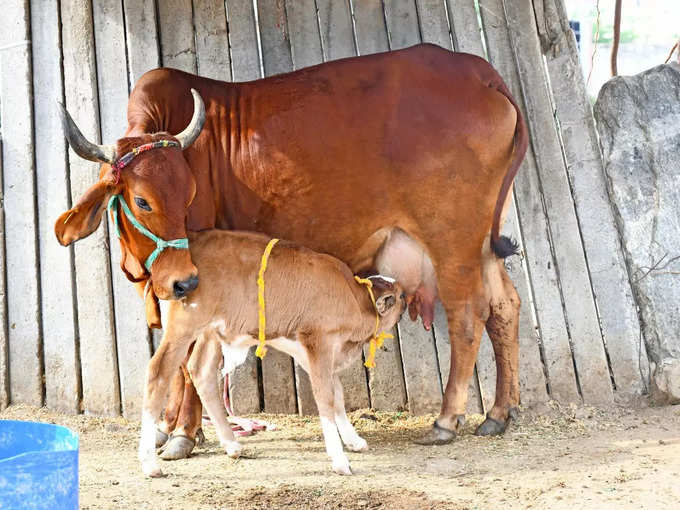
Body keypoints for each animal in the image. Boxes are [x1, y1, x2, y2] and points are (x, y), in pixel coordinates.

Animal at [55, 43, 528, 450]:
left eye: (190, 196)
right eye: (141, 200)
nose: (184, 281)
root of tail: (476, 70)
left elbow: (186, 359)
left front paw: (183, 433)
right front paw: (168, 425)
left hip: (453, 241)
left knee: (467, 316)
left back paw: (447, 419)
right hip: (483, 243)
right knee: (504, 306)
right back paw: (499, 414)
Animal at [137, 229, 404, 476]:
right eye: (401, 295)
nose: (408, 302)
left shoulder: (318, 355)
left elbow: (337, 394)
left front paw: (354, 441)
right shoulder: (319, 343)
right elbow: (326, 398)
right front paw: (340, 460)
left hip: (211, 331)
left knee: (201, 371)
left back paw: (232, 445)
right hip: (183, 327)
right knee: (158, 372)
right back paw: (149, 463)